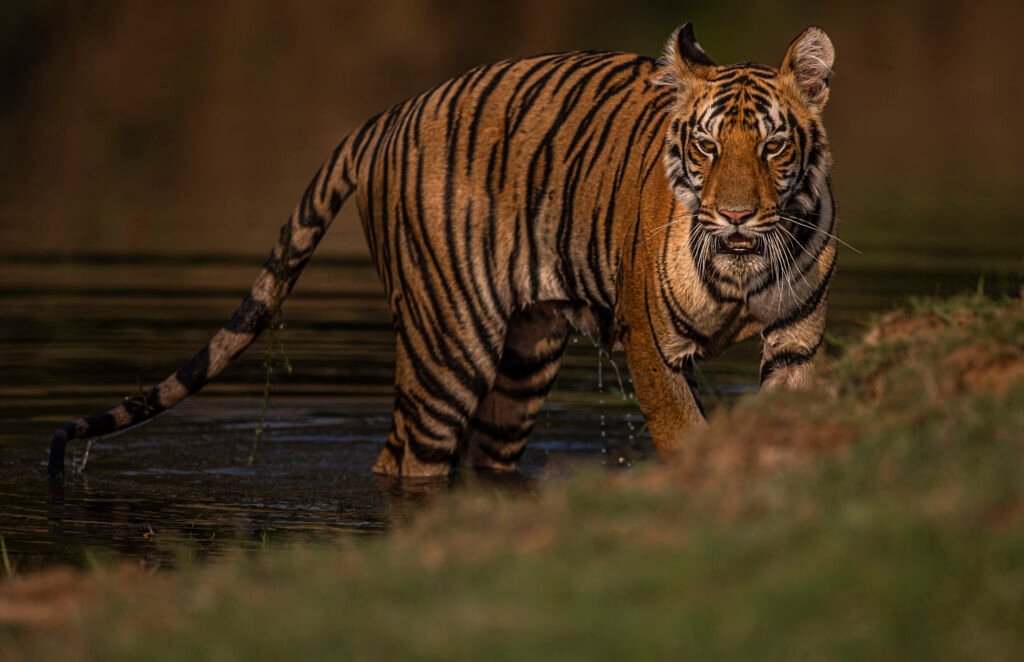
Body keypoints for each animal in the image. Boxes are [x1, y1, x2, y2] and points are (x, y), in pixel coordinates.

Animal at [47, 24, 838, 479]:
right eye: (706, 146)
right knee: (403, 460)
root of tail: (388, 115)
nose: (735, 214)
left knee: (484, 456)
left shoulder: (795, 336)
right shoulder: (652, 343)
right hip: (445, 346)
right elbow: (683, 432)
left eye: (773, 146)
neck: (742, 275)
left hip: (523, 356)